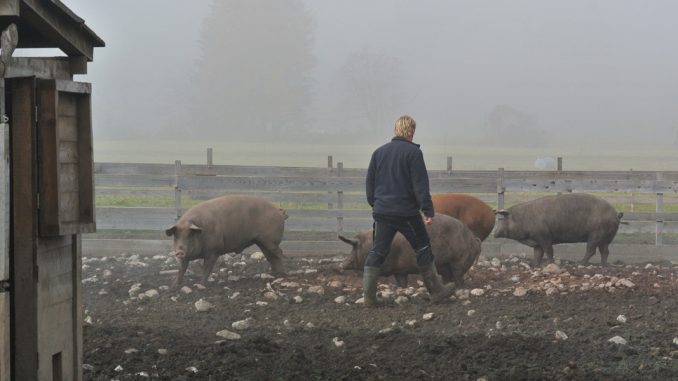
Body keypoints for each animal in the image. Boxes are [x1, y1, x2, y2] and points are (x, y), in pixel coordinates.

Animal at [340, 215, 484, 286]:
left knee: (459, 277)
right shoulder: (400, 270)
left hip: (459, 261)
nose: (341, 264)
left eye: (354, 247)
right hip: (445, 267)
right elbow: (402, 282)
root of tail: (474, 238)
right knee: (448, 278)